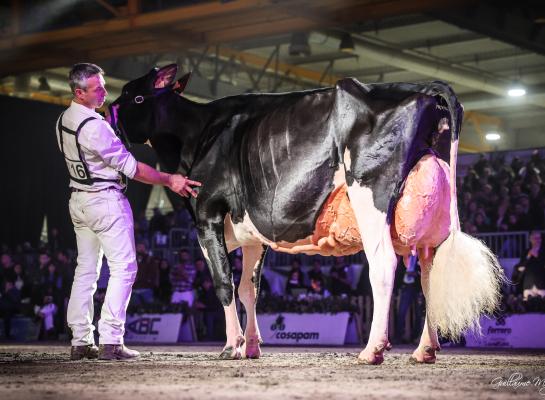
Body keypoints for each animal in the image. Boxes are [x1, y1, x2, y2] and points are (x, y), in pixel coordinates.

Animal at [110, 64, 506, 364]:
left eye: (136, 96)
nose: (109, 119)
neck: (199, 133)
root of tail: (422, 87)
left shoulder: (207, 213)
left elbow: (224, 283)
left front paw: (230, 346)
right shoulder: (250, 231)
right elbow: (248, 288)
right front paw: (251, 346)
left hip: (370, 194)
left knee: (383, 265)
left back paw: (372, 350)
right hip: (428, 219)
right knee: (429, 276)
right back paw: (425, 349)